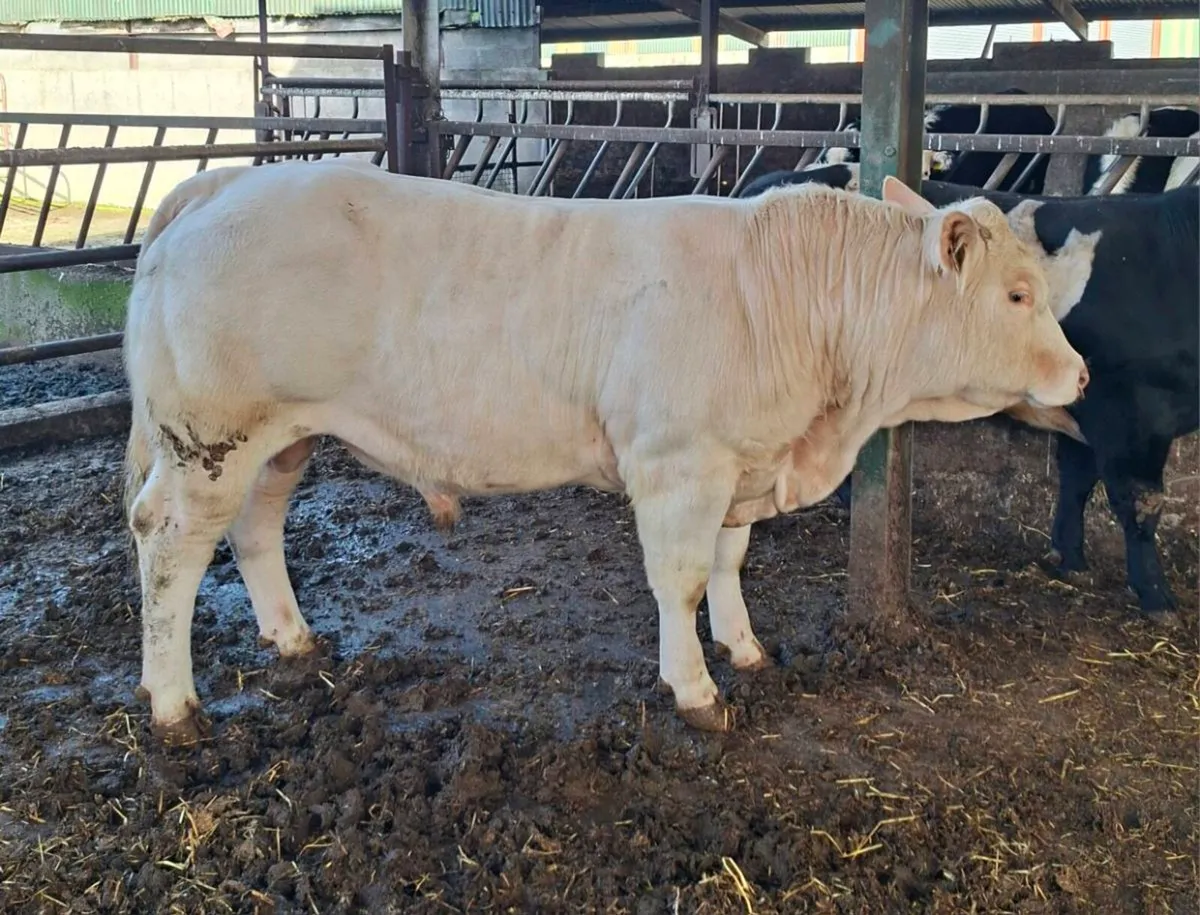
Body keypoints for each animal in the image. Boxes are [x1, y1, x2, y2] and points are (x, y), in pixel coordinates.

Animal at [122, 159, 1087, 743]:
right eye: (1017, 293)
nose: (1079, 375)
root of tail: (221, 184)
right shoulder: (677, 461)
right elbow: (682, 579)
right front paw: (695, 689)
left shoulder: (738, 458)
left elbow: (731, 561)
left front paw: (745, 648)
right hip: (209, 438)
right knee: (168, 543)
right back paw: (173, 704)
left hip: (282, 437)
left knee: (254, 529)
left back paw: (291, 638)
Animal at [742, 166, 1198, 614]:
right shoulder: (1130, 417)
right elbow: (1140, 503)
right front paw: (1156, 594)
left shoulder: (1093, 407)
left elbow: (1076, 481)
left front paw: (1070, 558)